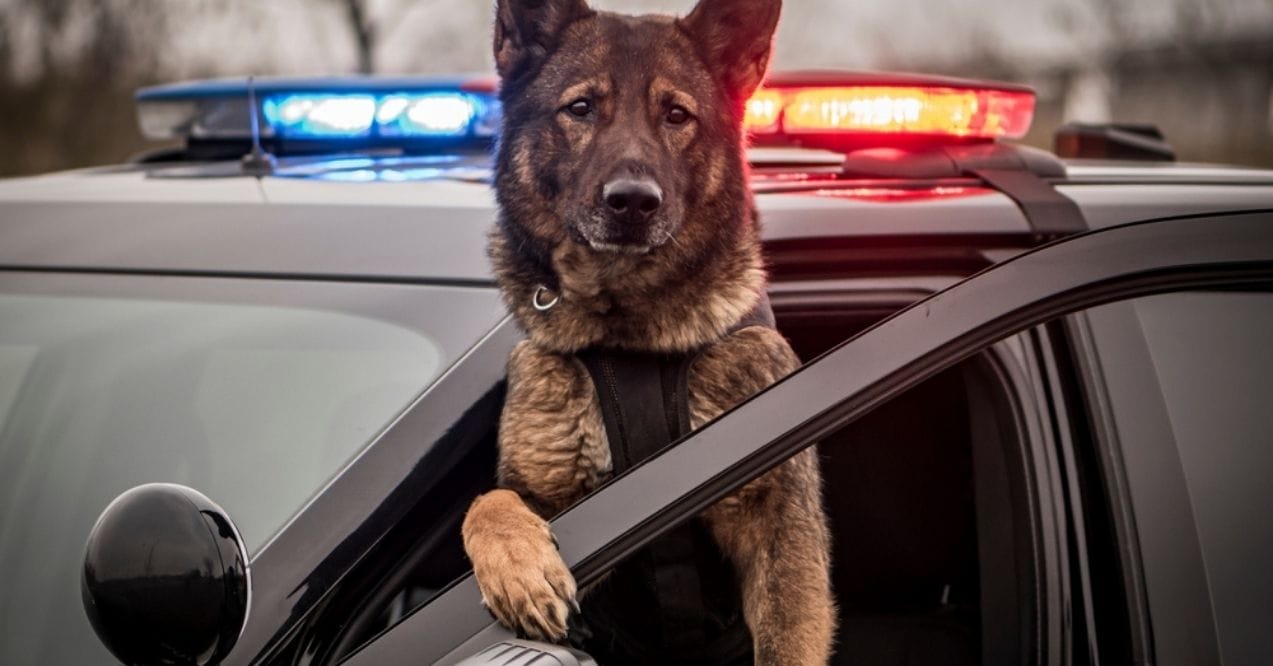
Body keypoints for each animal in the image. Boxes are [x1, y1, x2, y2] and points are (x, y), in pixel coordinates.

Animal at [463, 1, 840, 662]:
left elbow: (788, 638)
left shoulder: (782, 523)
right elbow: (488, 500)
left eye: (676, 115)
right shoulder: (553, 495)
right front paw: (518, 564)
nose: (633, 202)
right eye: (581, 108)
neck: (629, 336)